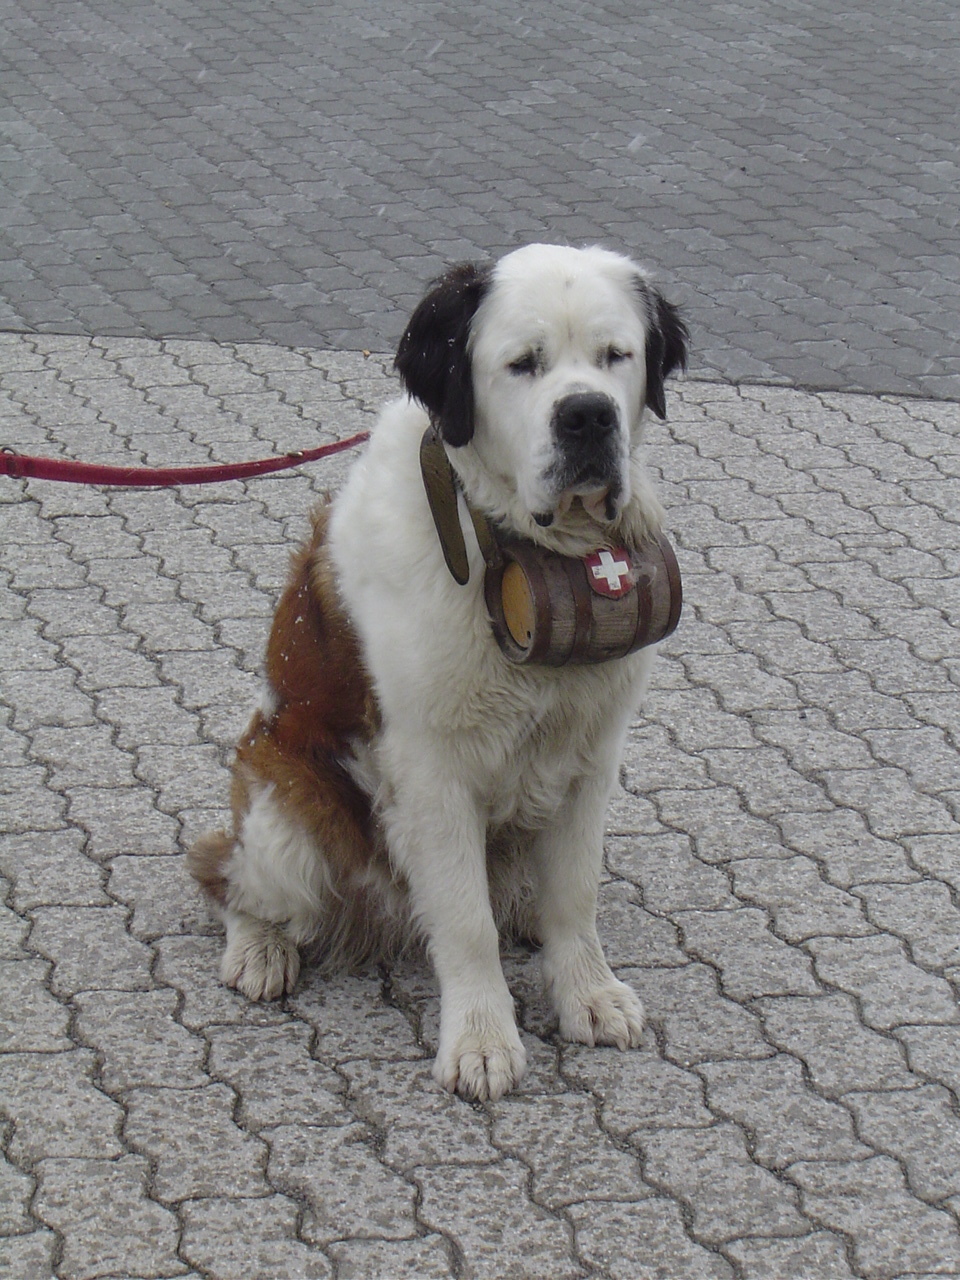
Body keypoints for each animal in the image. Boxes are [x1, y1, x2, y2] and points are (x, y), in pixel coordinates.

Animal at [188, 241, 686, 1100]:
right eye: (523, 365)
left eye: (615, 357)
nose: (587, 414)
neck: (509, 547)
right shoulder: (432, 770)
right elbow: (462, 919)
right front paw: (483, 1039)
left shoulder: (590, 755)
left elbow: (574, 892)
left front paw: (585, 994)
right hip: (287, 811)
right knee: (231, 877)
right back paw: (260, 950)